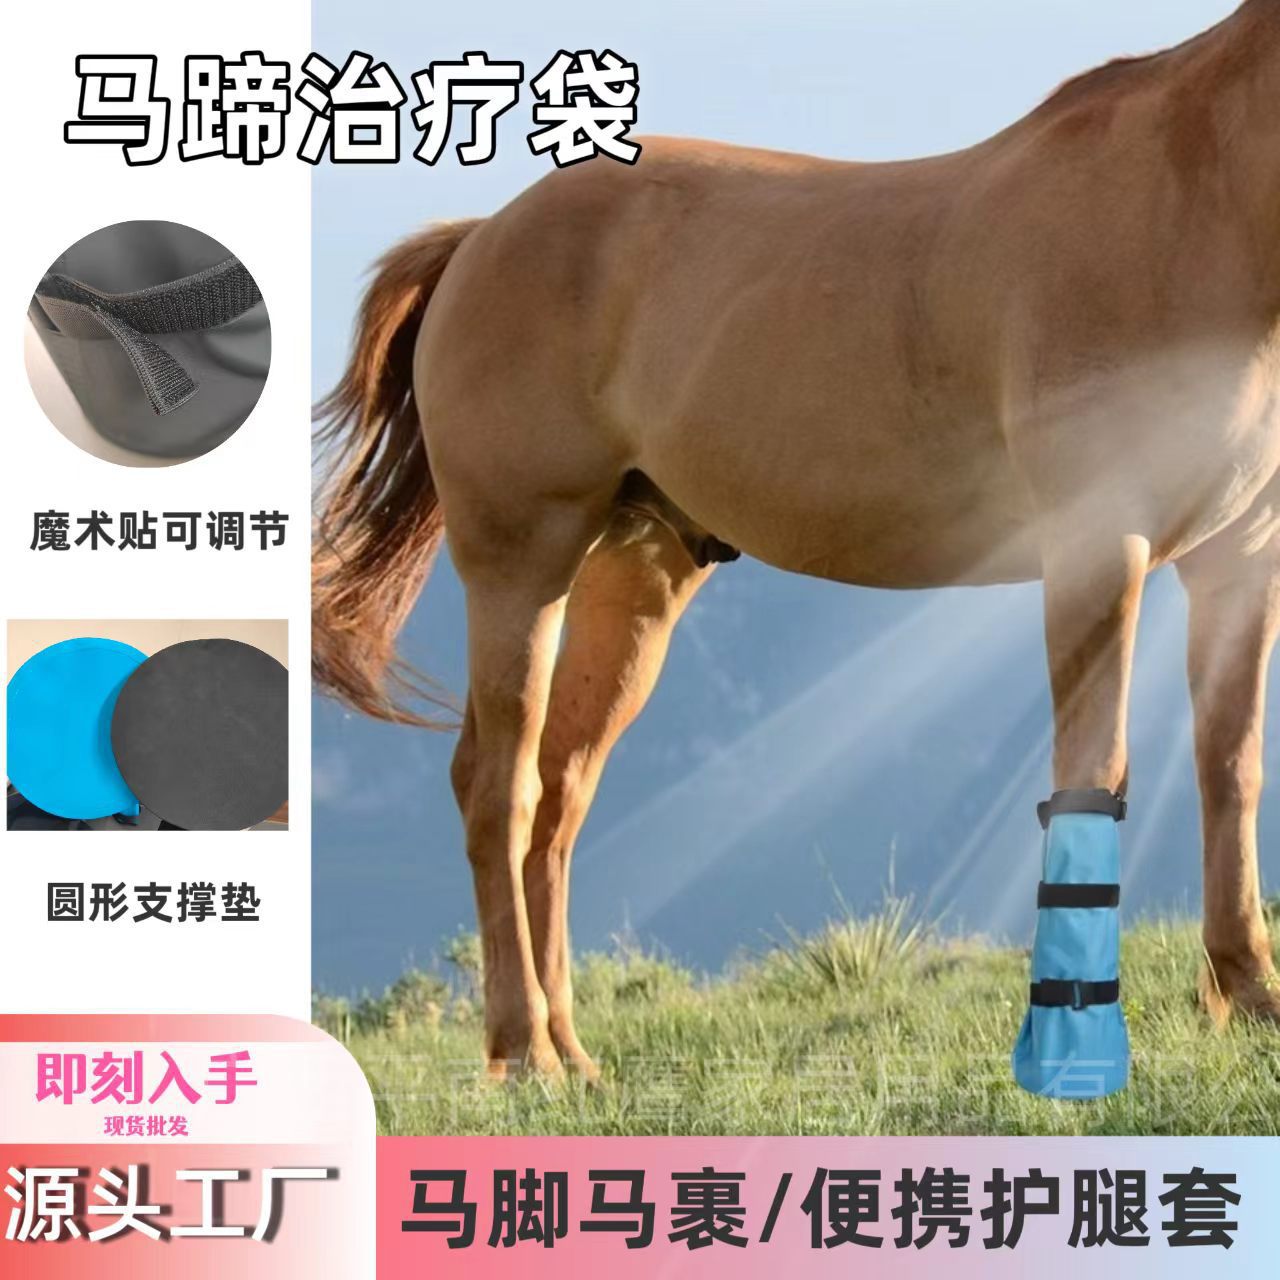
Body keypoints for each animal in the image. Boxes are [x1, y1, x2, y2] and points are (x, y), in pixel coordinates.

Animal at [314, 0, 1280, 1080]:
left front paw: (1249, 996)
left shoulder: (1241, 561)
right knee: (500, 787)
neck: (1189, 202)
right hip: (521, 563)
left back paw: (571, 1048)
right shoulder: (1095, 546)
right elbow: (1095, 771)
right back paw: (528, 1054)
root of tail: (480, 235)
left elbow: (1231, 767)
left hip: (627, 582)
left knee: (560, 793)